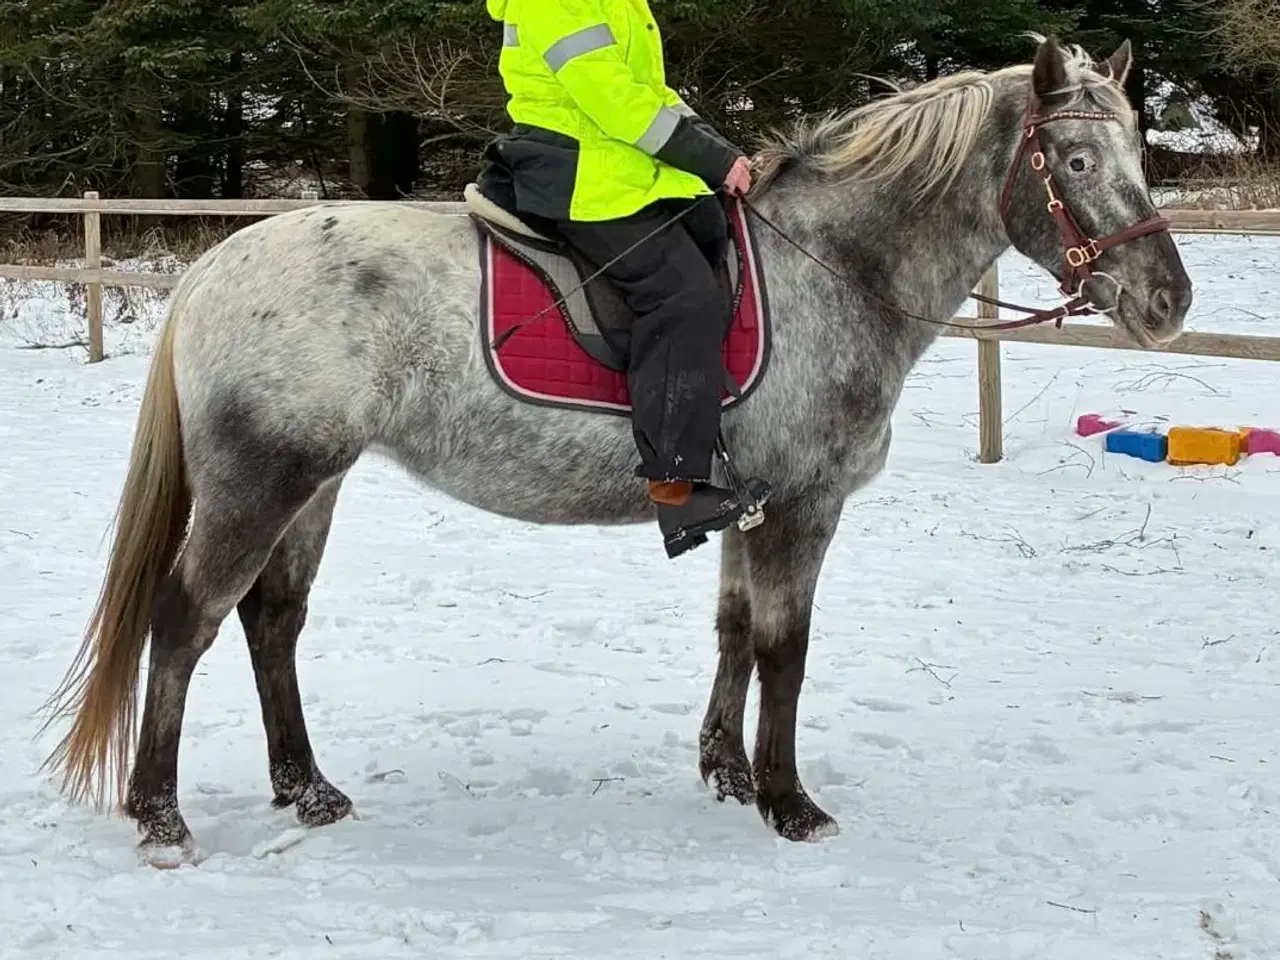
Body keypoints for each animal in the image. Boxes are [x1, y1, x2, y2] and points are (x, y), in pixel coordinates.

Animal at [39, 35, 1191, 864]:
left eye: (1141, 155)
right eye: (1076, 160)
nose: (1168, 301)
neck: (833, 269)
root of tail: (211, 269)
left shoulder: (746, 504)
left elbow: (735, 636)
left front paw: (727, 773)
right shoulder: (804, 505)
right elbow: (786, 649)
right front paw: (788, 801)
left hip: (312, 484)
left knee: (271, 623)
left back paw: (308, 790)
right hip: (259, 480)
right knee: (184, 621)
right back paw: (161, 816)